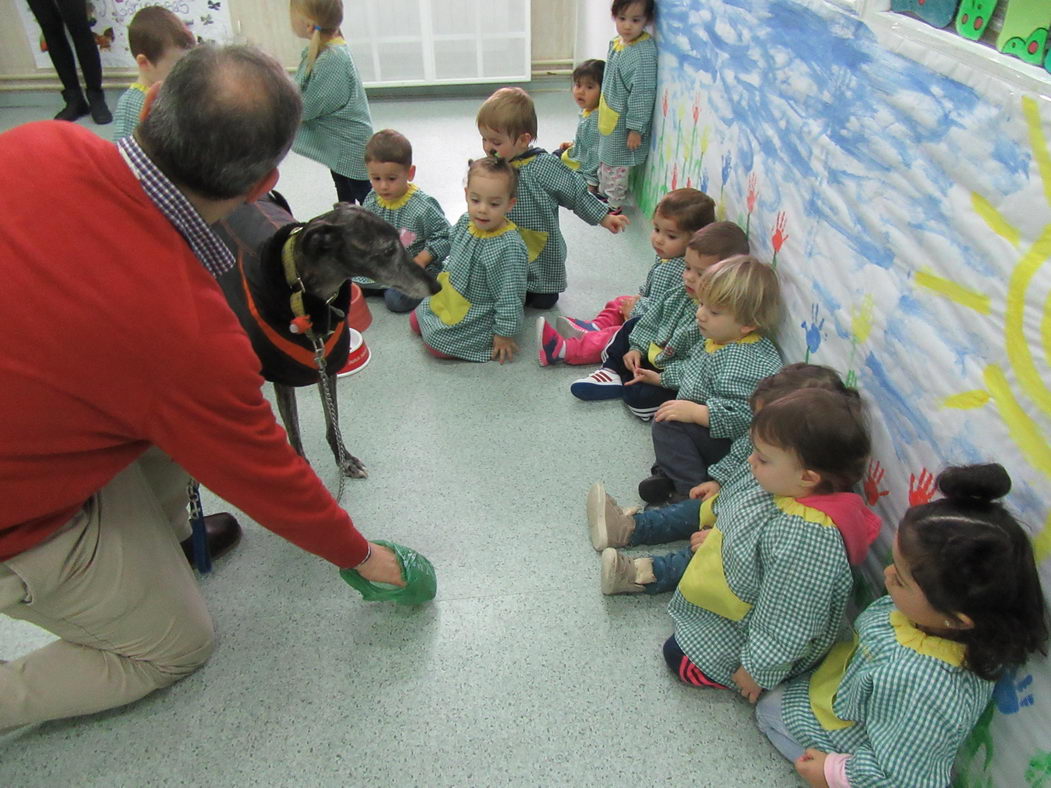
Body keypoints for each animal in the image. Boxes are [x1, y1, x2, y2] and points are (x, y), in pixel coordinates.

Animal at [215, 194, 437, 479]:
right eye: (388, 250)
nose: (436, 286)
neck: (308, 299)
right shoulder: (283, 379)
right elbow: (294, 434)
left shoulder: (327, 365)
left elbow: (333, 422)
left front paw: (345, 460)